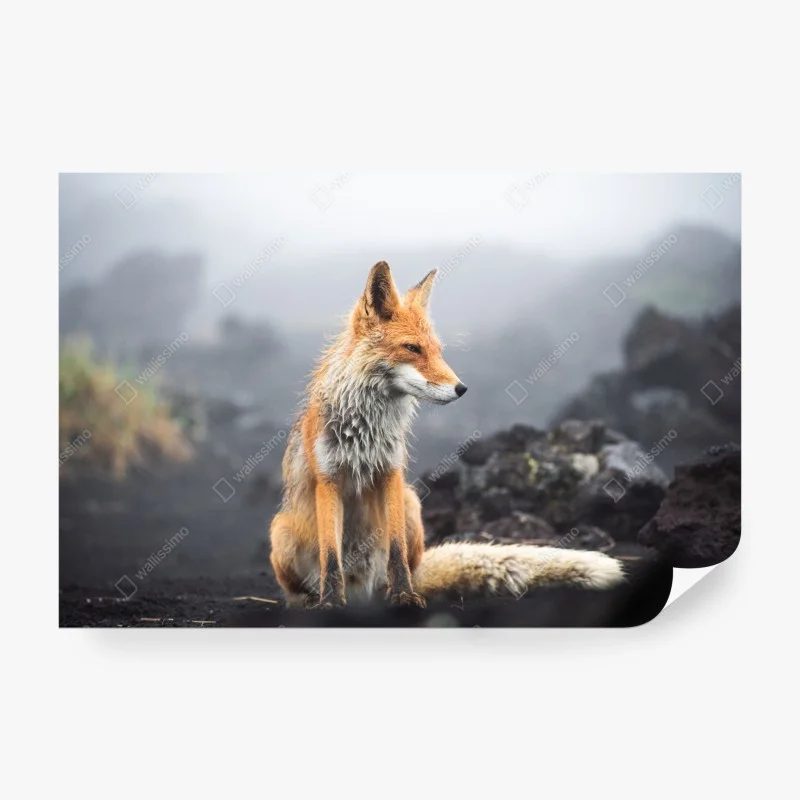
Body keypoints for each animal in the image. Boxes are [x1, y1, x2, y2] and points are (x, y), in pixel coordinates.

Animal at [269, 261, 625, 609]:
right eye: (412, 348)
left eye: (437, 350)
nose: (461, 388)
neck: (365, 431)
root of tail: (362, 593)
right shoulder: (328, 480)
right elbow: (331, 556)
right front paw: (330, 602)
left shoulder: (391, 473)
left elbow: (396, 551)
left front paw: (404, 596)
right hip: (281, 531)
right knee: (299, 588)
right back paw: (310, 601)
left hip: (411, 504)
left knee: (405, 568)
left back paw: (393, 593)